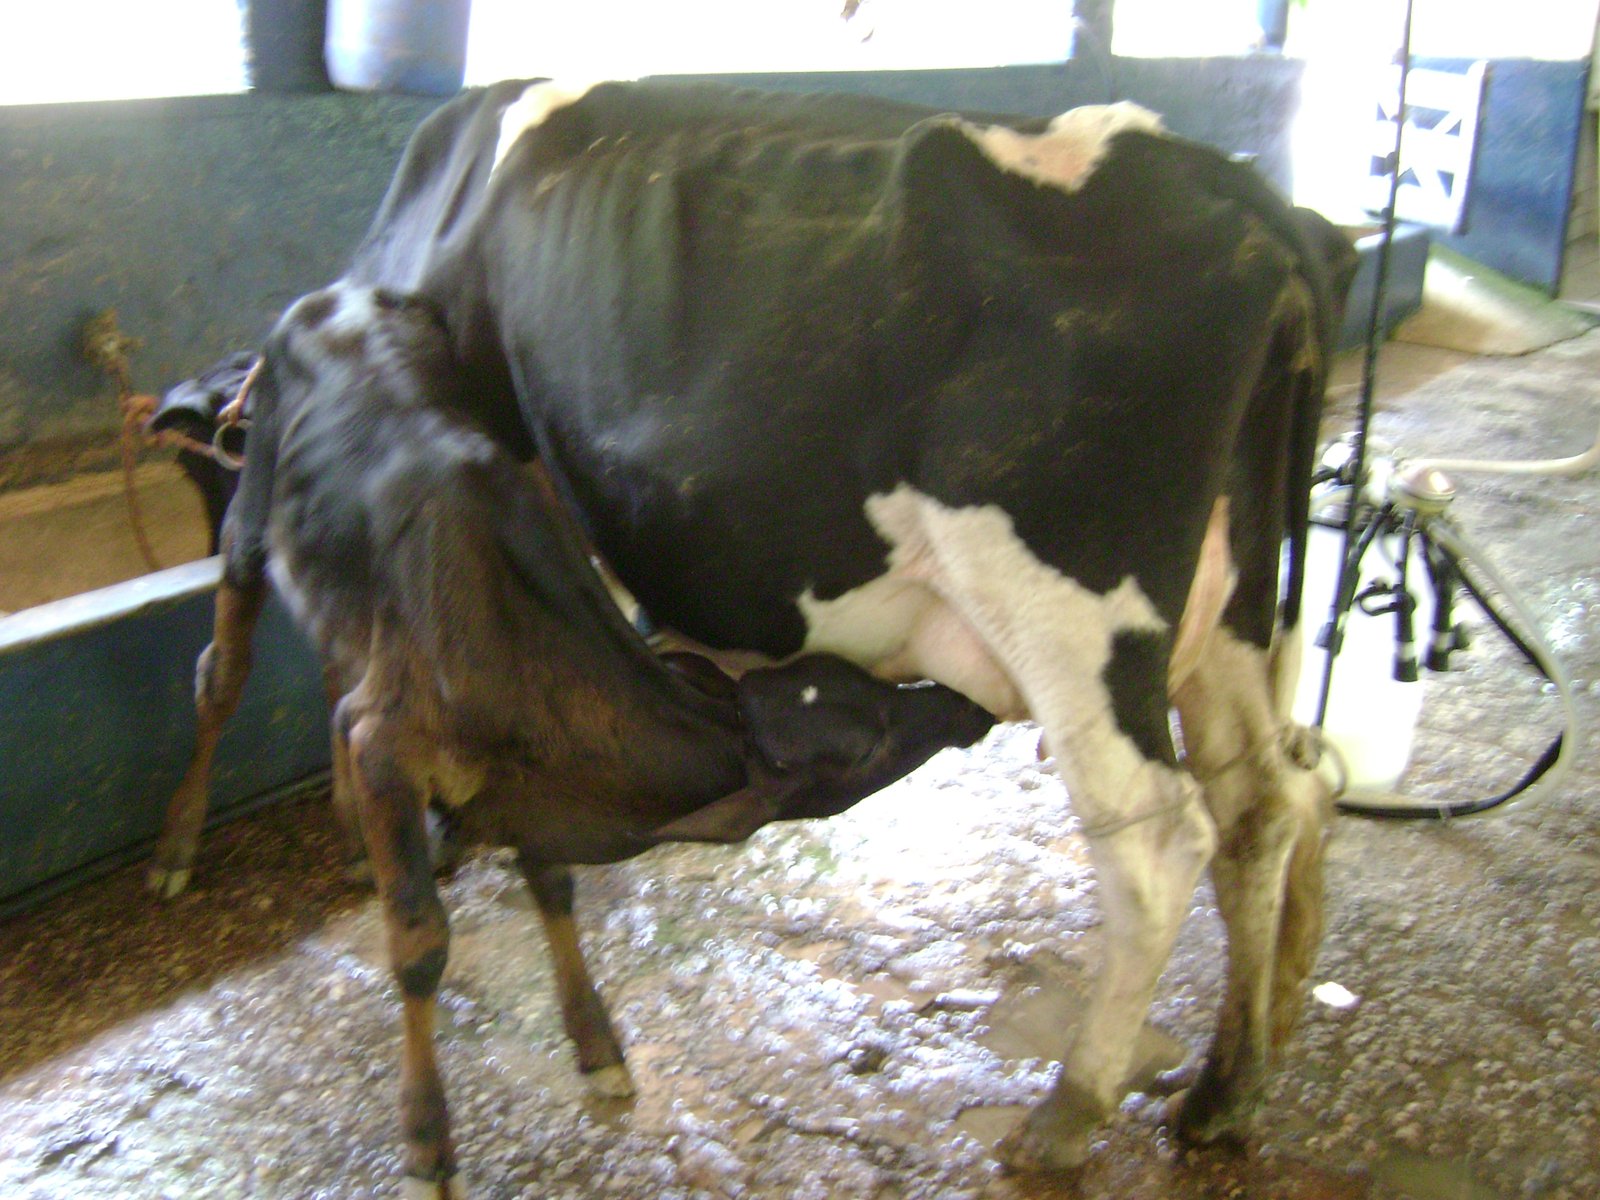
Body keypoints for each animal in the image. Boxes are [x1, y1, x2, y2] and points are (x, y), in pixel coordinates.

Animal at [150, 78, 1354, 1196]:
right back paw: (1230, 1081)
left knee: (1154, 848)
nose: (237, 523)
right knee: (1268, 801)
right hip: (1236, 600)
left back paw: (1066, 1116)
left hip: (1071, 613)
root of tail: (1246, 198)